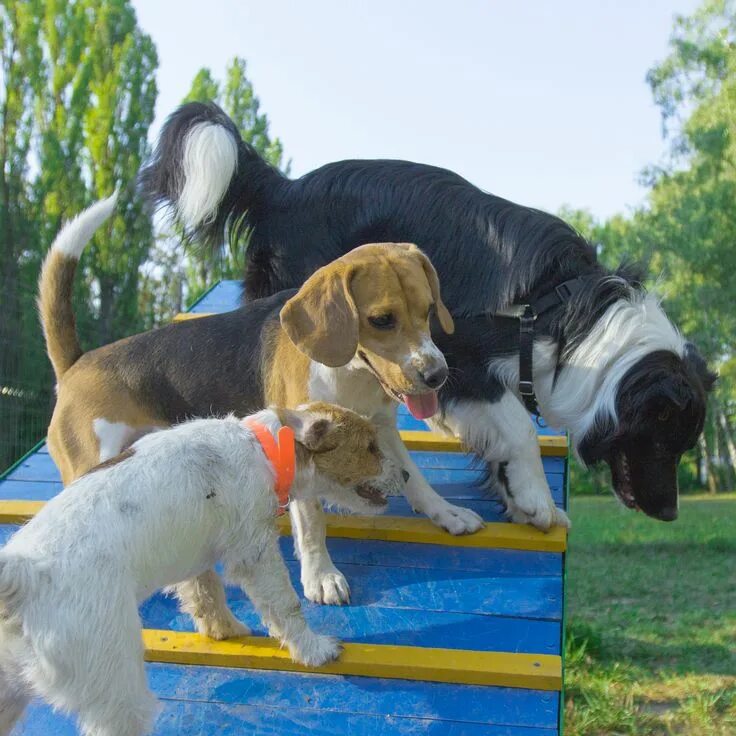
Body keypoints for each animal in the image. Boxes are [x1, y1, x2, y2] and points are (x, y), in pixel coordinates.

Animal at [141, 102, 716, 524]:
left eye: (683, 444)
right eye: (663, 439)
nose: (669, 514)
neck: (573, 322)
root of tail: (285, 187)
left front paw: (518, 502)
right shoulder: (460, 349)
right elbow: (520, 427)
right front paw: (535, 497)